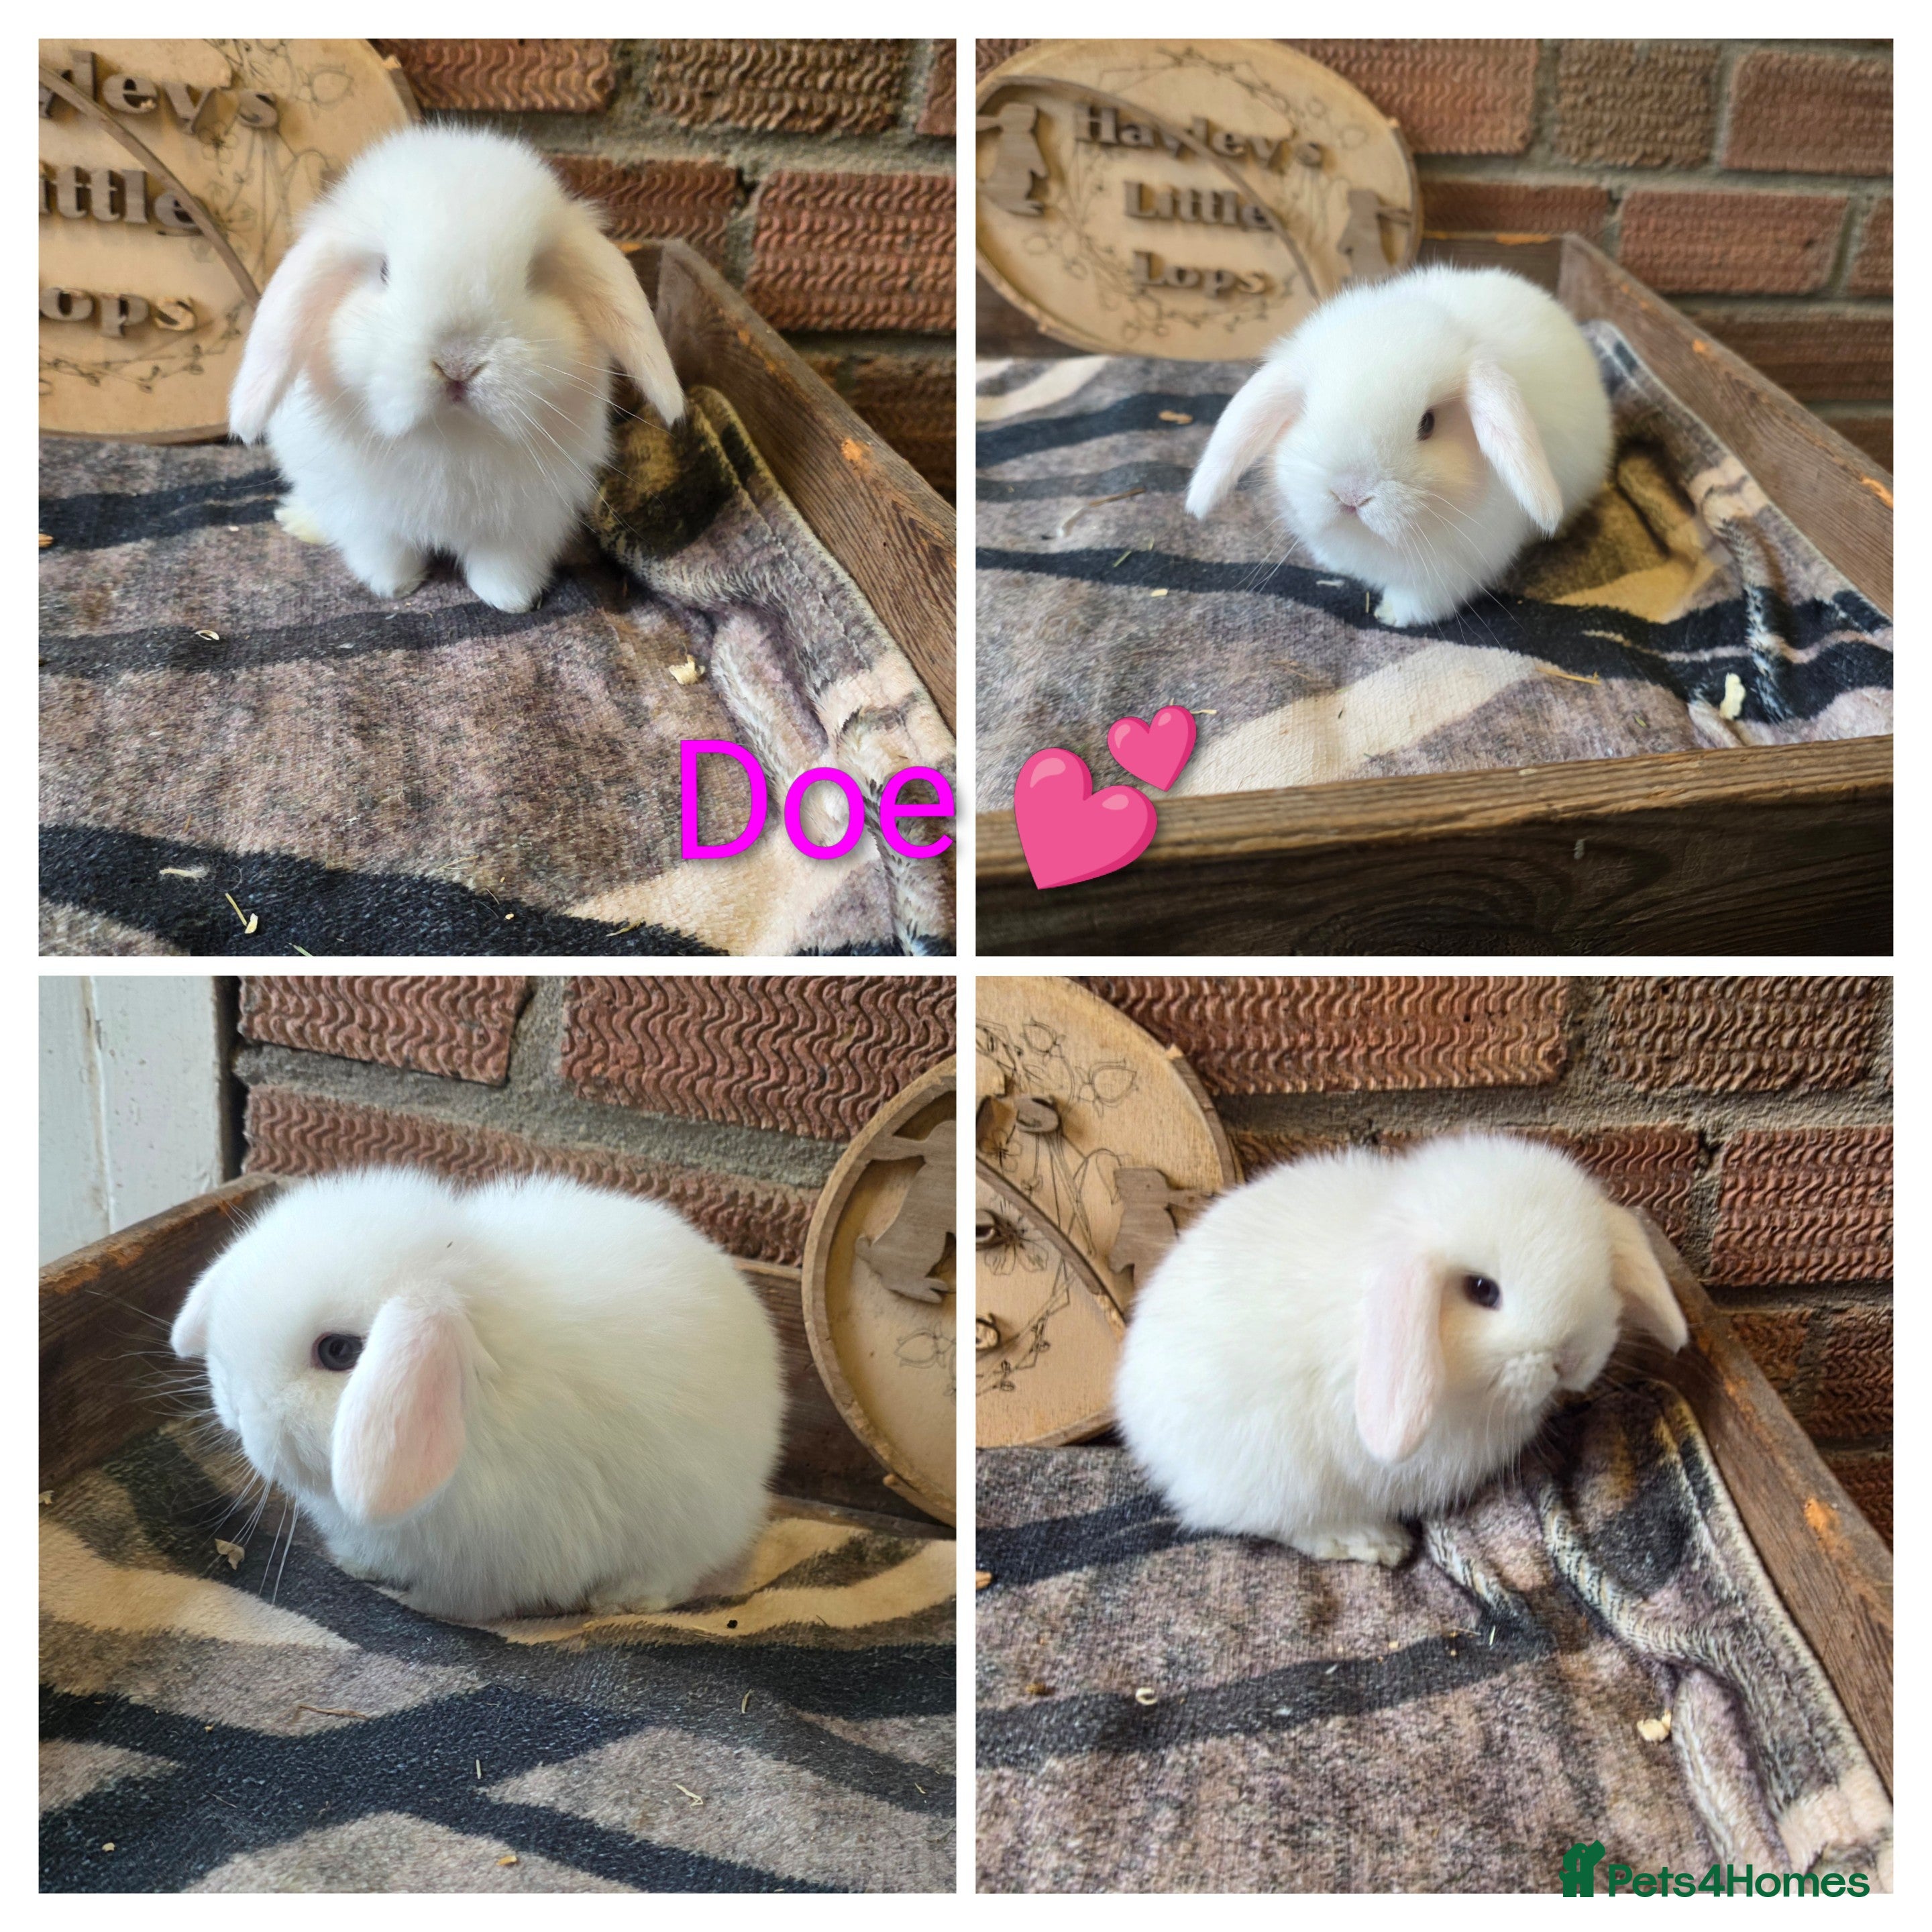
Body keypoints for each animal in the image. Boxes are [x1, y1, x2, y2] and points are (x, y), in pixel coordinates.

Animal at [169, 1168, 784, 1622]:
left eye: (339, 1351)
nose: (236, 1408)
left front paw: (420, 1604)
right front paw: (358, 1567)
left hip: (691, 1519)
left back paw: (623, 1599)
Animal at [228, 125, 685, 614]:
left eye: (533, 276)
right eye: (384, 271)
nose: (458, 363)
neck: (452, 434)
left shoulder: (526, 523)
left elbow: (503, 565)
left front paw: (511, 601)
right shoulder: (369, 519)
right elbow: (385, 553)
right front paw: (394, 588)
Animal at [1184, 266, 1614, 628]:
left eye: (1428, 424)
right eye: (1307, 411)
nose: (1350, 494)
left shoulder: (1449, 572)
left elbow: (1421, 601)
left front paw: (1391, 615)